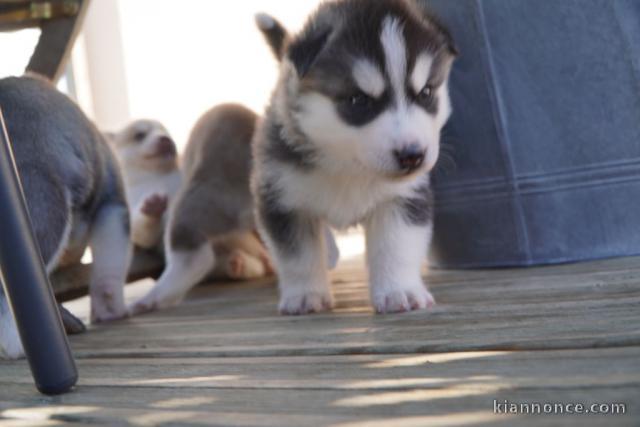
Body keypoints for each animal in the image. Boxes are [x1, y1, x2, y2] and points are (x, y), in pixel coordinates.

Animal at [252, 0, 458, 316]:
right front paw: (305, 295)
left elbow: (396, 246)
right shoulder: (282, 199)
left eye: (425, 92)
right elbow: (298, 256)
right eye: (359, 100)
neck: (348, 166)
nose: (412, 156)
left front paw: (399, 291)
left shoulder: (402, 199)